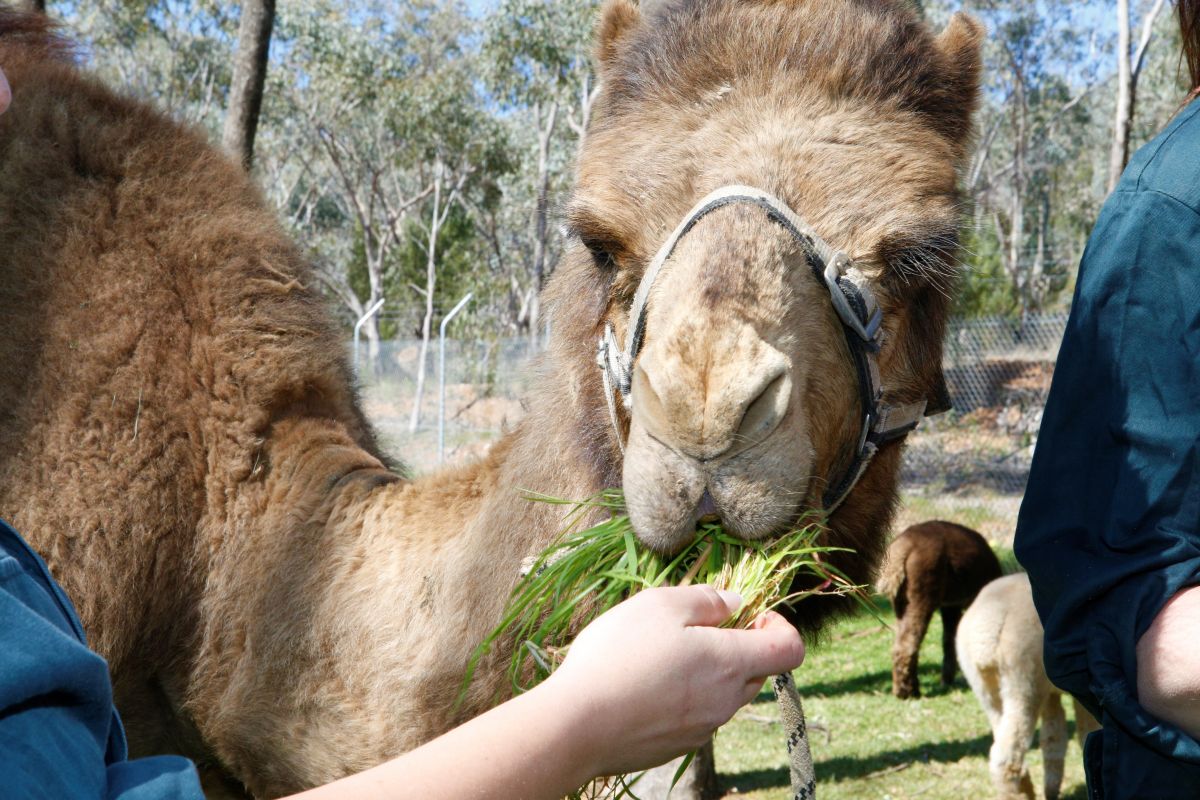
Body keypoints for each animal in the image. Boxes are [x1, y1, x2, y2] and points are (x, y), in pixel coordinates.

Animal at [883, 522, 1003, 695]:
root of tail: (902, 547)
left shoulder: (950, 606)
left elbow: (949, 640)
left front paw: (947, 680)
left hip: (901, 601)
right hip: (921, 593)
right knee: (908, 644)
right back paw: (909, 693)